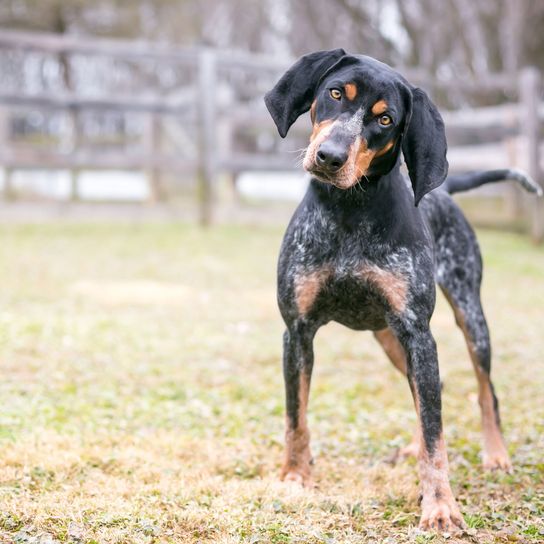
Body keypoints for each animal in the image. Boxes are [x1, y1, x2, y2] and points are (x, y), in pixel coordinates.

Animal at [262, 49, 540, 532]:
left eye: (385, 119)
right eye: (335, 93)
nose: (329, 156)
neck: (348, 211)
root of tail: (445, 190)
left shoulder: (418, 333)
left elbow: (436, 435)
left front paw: (440, 505)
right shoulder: (296, 332)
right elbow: (296, 417)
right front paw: (295, 476)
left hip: (469, 318)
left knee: (483, 391)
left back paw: (496, 454)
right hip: (389, 338)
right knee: (433, 389)